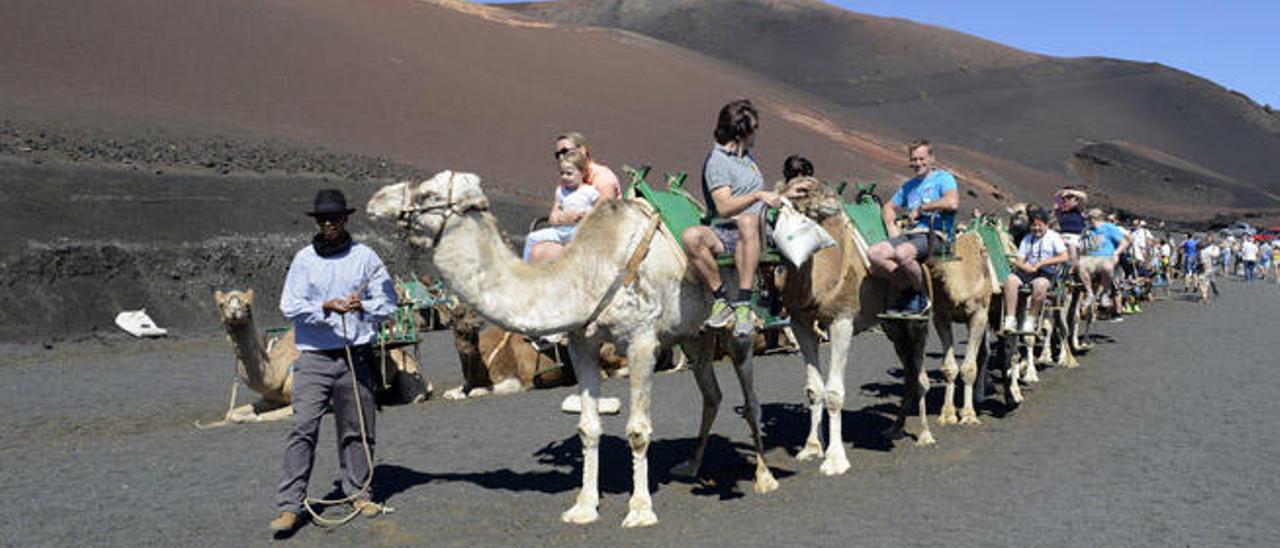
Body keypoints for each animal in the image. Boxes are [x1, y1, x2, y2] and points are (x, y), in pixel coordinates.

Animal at [202, 286, 427, 427]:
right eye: (222, 304)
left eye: (247, 305)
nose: (234, 314)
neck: (277, 370)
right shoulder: (271, 397)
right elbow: (232, 413)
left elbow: (260, 417)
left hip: (410, 375)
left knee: (416, 394)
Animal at [366, 172, 773, 530]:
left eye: (428, 195)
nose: (375, 201)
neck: (589, 273)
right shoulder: (582, 344)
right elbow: (587, 428)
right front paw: (583, 507)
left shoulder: (642, 340)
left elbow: (638, 430)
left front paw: (640, 510)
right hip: (694, 334)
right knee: (712, 393)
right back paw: (690, 467)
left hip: (738, 318)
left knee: (750, 394)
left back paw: (765, 476)